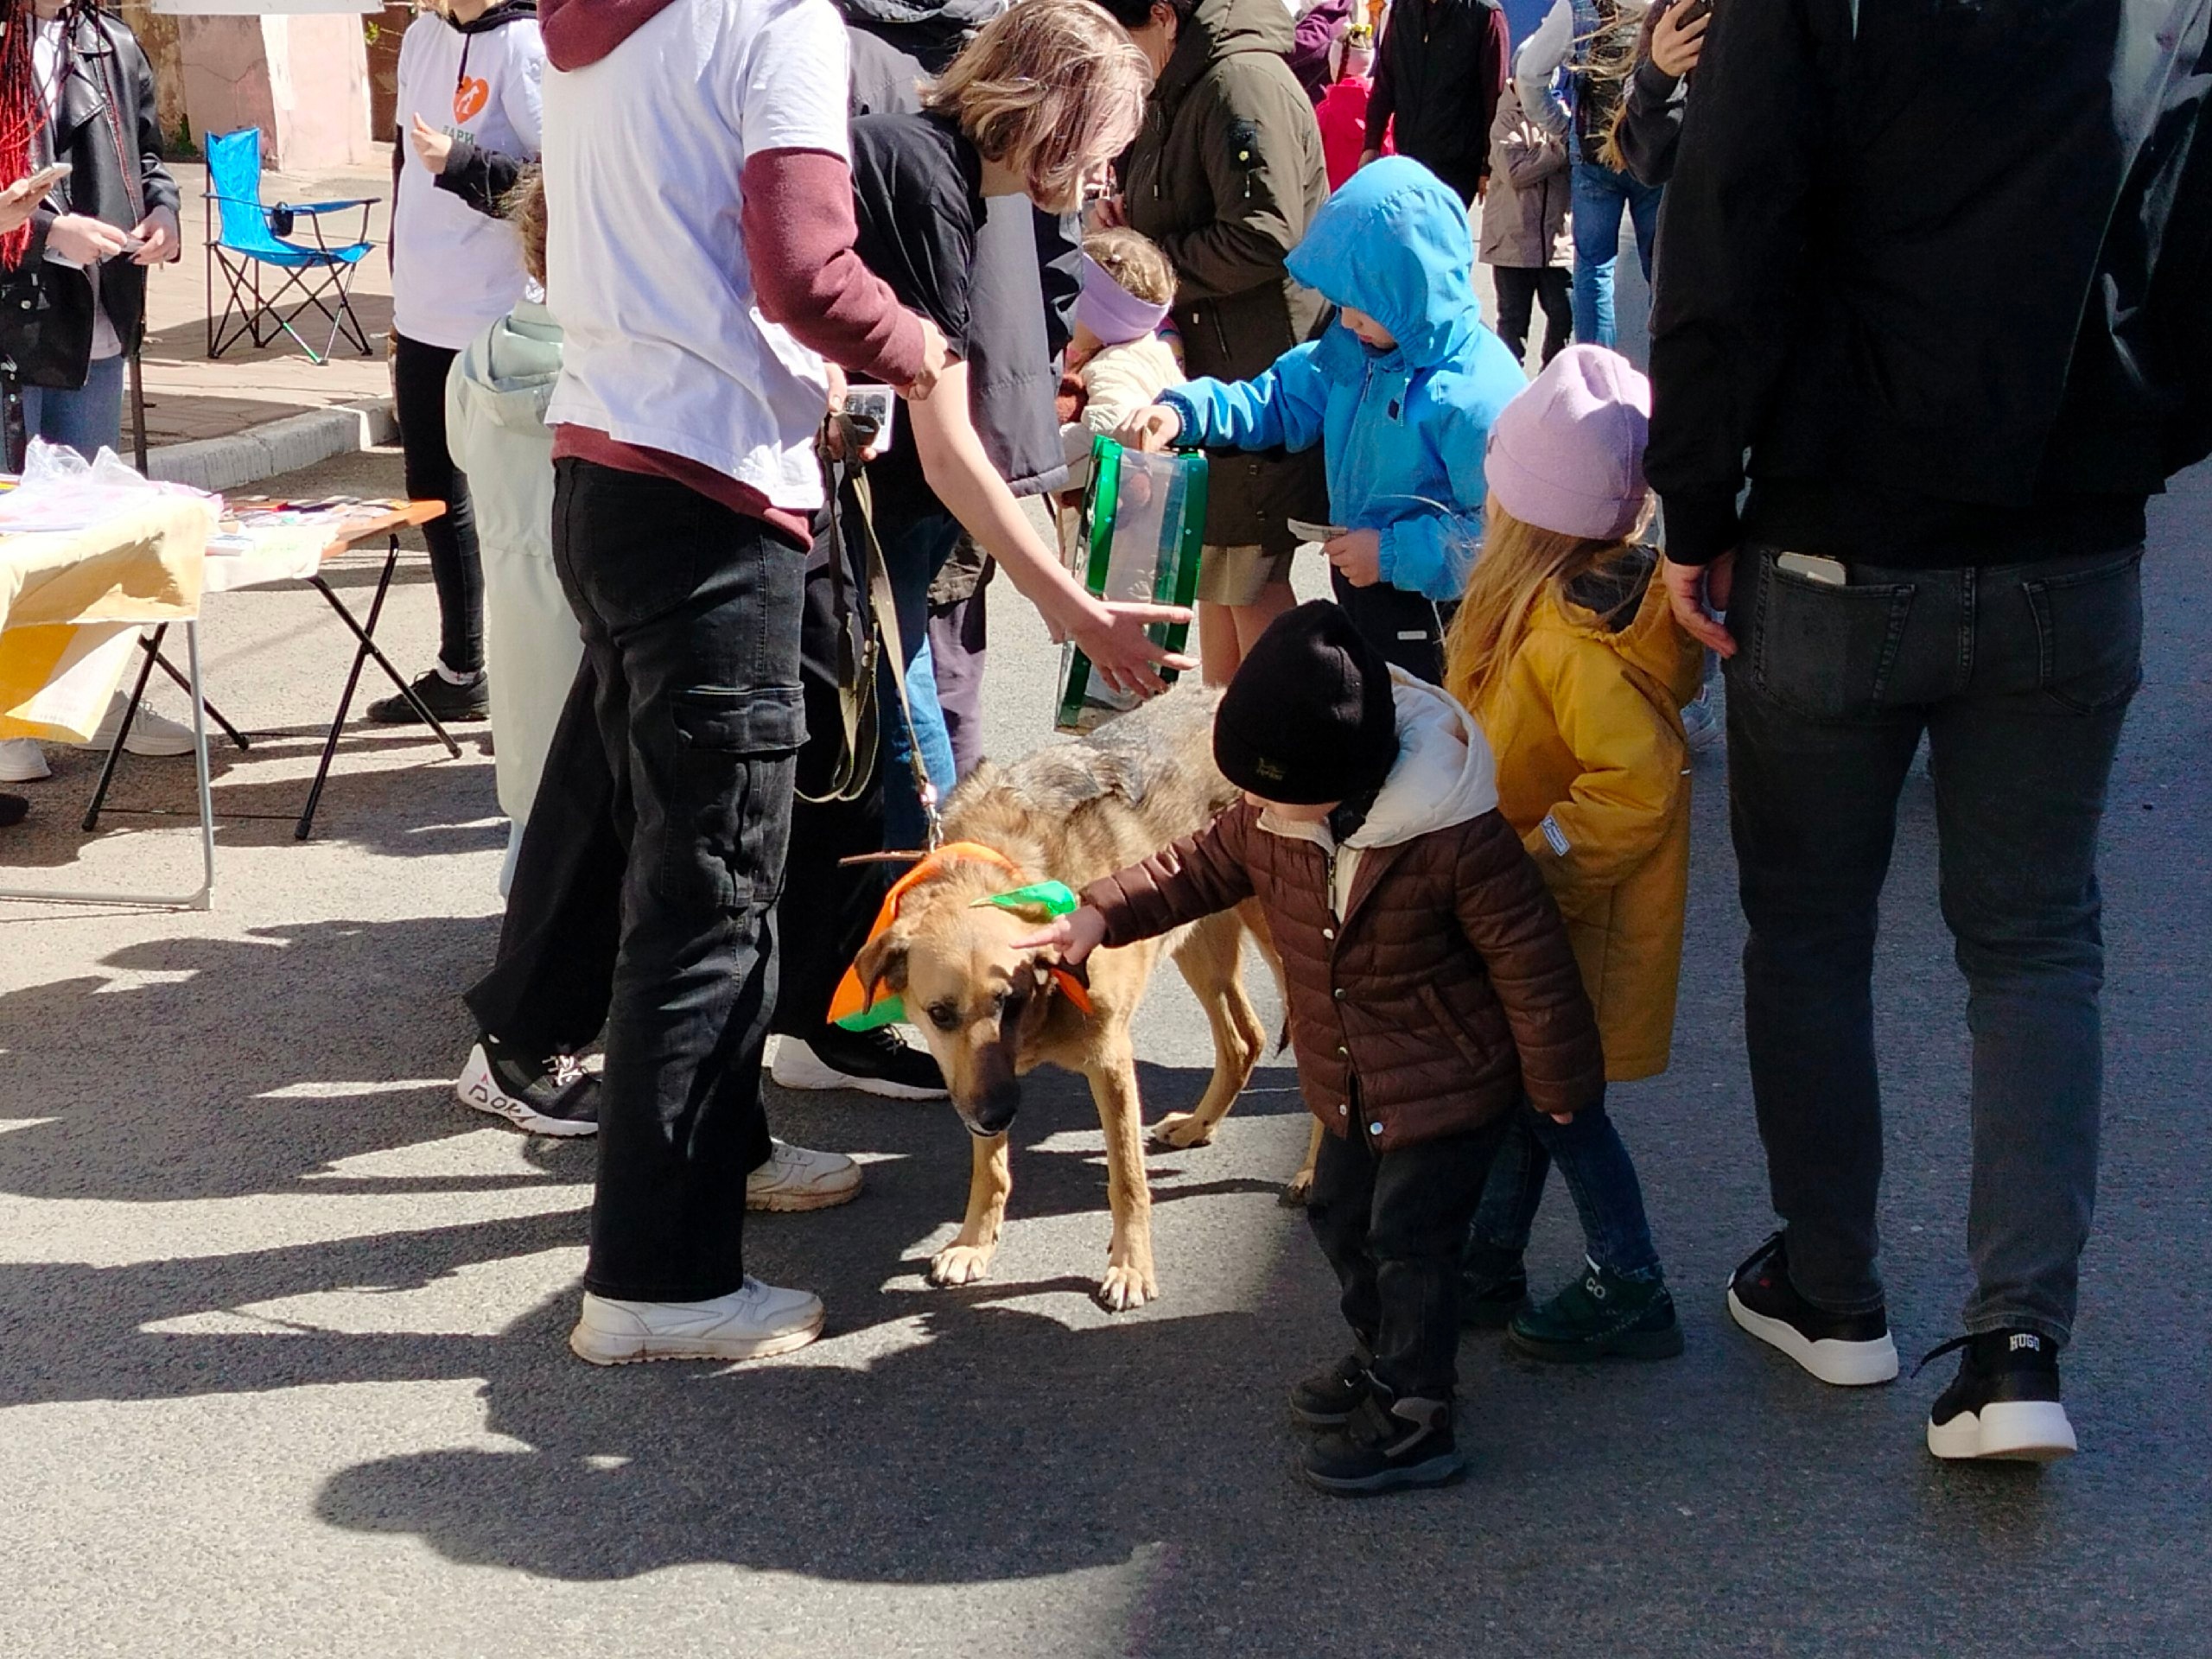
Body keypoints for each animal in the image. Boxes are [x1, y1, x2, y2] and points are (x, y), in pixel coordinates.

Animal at [840, 685, 1292, 1309]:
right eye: (940, 1014)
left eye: (1011, 1001)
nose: (997, 1114)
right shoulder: (979, 1079)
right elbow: (991, 1169)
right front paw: (975, 1243)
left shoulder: (1110, 1061)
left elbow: (1127, 1178)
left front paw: (1131, 1266)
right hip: (1198, 930)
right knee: (1244, 1038)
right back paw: (1198, 1124)